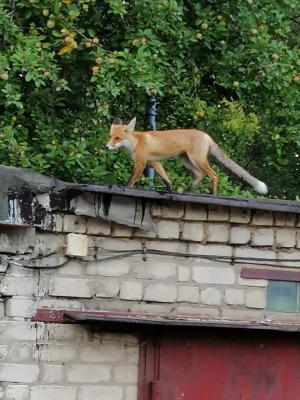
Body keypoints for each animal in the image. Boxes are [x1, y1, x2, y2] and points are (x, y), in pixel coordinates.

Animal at [106, 117, 268, 195]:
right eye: (110, 136)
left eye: (117, 139)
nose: (106, 146)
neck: (136, 142)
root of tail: (205, 134)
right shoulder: (155, 162)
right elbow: (166, 179)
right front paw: (170, 190)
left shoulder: (141, 163)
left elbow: (131, 179)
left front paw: (125, 188)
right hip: (187, 161)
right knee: (201, 175)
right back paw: (189, 190)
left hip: (197, 160)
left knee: (214, 174)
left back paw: (213, 193)